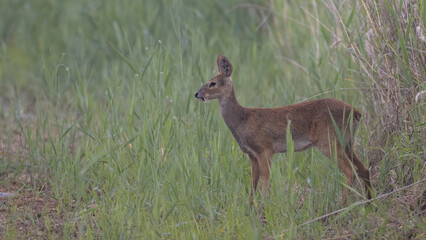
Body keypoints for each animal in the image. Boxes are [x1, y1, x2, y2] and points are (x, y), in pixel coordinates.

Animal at [195, 55, 372, 203]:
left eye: (212, 83)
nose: (197, 94)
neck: (242, 120)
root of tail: (357, 112)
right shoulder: (252, 154)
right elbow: (253, 185)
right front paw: (250, 208)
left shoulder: (264, 149)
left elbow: (265, 182)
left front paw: (265, 208)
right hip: (347, 143)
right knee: (364, 168)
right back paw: (369, 202)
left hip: (329, 142)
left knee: (351, 171)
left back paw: (342, 204)